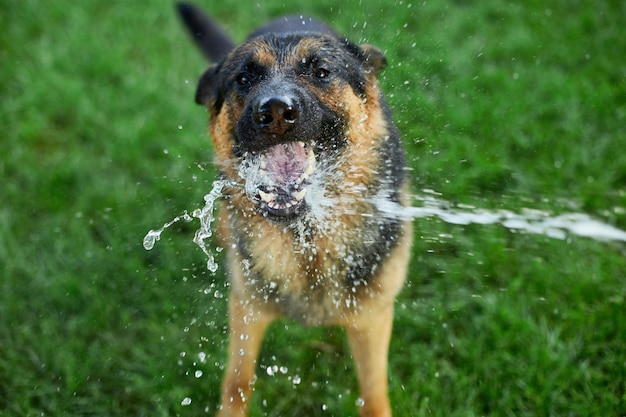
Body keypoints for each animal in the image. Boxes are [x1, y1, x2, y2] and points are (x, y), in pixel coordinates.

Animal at [177, 4, 410, 416]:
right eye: (243, 78)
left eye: (321, 71)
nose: (274, 111)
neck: (307, 237)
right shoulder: (247, 308)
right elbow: (236, 382)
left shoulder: (372, 317)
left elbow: (373, 393)